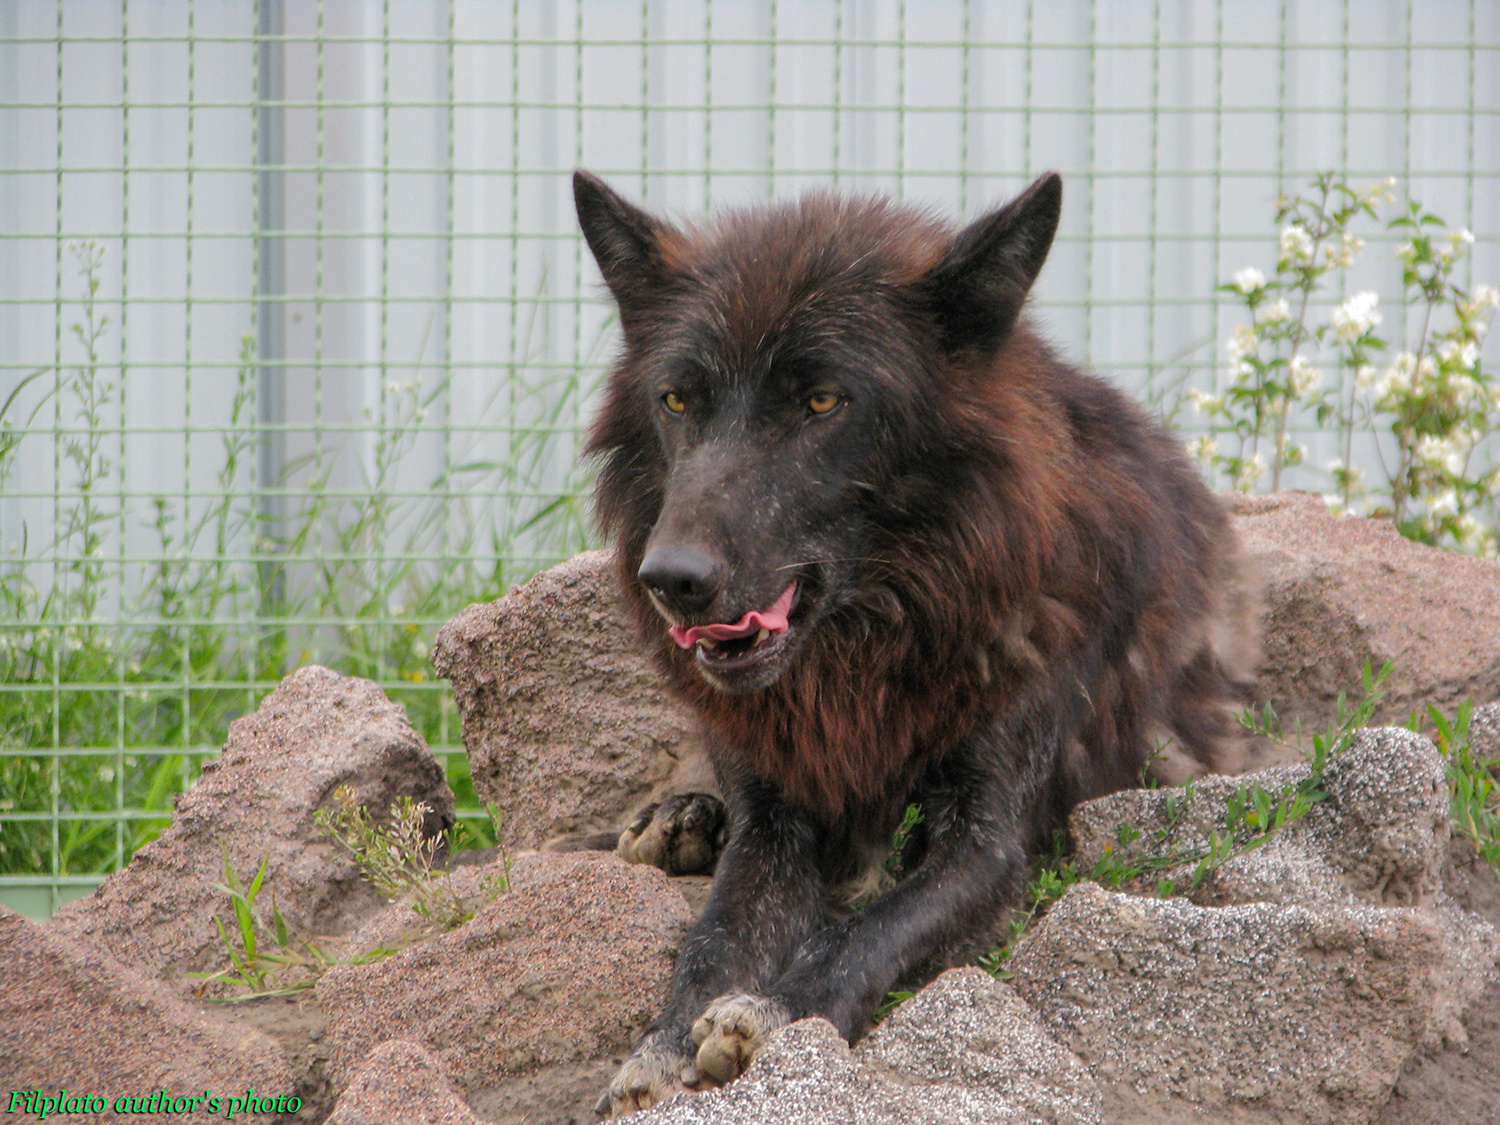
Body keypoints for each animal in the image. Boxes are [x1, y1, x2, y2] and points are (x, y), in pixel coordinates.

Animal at [573, 169, 1261, 1116]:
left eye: (823, 400)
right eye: (677, 399)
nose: (672, 577)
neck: (871, 649)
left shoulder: (989, 842)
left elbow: (870, 928)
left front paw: (774, 1010)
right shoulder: (775, 817)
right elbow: (719, 932)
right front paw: (666, 1041)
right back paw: (673, 820)